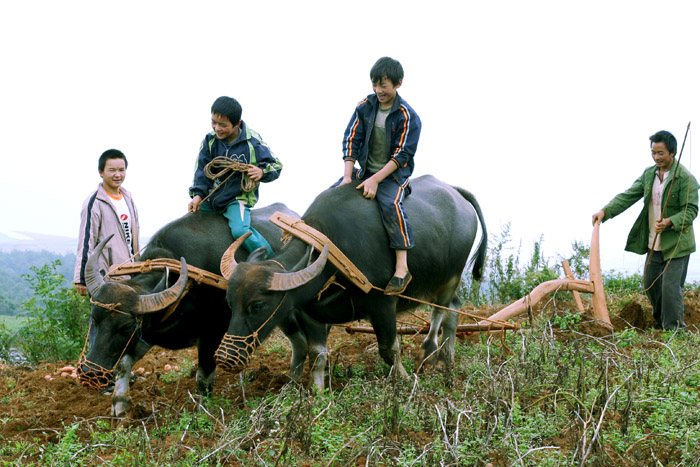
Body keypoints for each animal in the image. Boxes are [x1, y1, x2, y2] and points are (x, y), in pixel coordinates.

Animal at [78, 205, 330, 416]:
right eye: (94, 319)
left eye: (126, 326)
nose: (90, 371)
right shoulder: (149, 332)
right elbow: (123, 365)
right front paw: (120, 407)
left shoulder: (212, 335)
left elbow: (203, 379)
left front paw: (203, 413)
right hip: (279, 314)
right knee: (299, 343)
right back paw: (291, 384)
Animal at [217, 176, 486, 388]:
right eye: (229, 303)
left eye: (257, 306)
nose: (224, 358)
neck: (333, 257)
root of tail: (454, 191)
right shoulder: (311, 313)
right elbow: (317, 354)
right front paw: (317, 393)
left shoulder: (382, 304)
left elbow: (390, 349)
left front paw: (404, 380)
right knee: (454, 309)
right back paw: (446, 361)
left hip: (451, 276)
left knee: (442, 311)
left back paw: (428, 352)